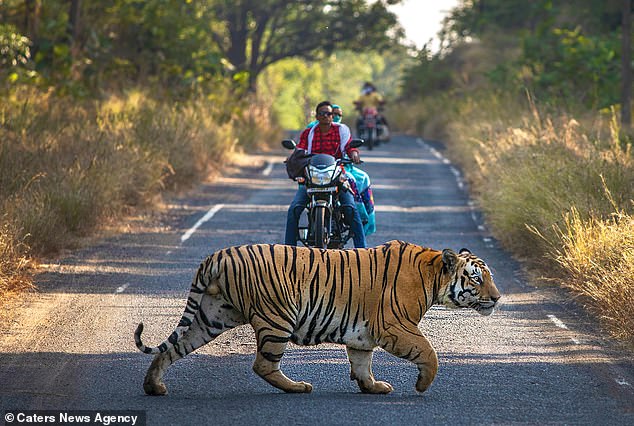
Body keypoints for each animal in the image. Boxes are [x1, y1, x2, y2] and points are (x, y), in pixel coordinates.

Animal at [133, 240, 498, 396]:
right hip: (278, 317)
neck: (434, 276)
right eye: (477, 279)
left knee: (173, 347)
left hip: (212, 316)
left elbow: (362, 363)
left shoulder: (363, 333)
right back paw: (298, 387)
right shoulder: (394, 325)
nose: (496, 298)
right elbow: (429, 352)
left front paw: (372, 387)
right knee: (263, 364)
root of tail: (217, 256)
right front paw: (422, 385)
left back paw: (154, 386)